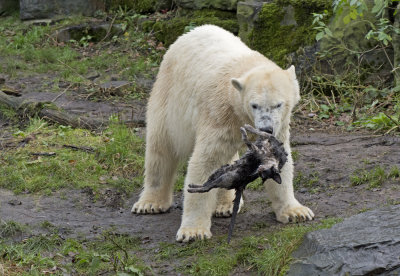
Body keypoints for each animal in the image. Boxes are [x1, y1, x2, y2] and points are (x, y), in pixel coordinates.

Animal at [133, 25, 314, 242]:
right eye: (254, 105)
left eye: (278, 104)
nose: (265, 129)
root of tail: (189, 33)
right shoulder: (218, 114)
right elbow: (205, 161)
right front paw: (193, 231)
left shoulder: (278, 127)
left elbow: (281, 162)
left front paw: (296, 212)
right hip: (169, 96)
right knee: (161, 146)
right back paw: (150, 203)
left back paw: (225, 205)